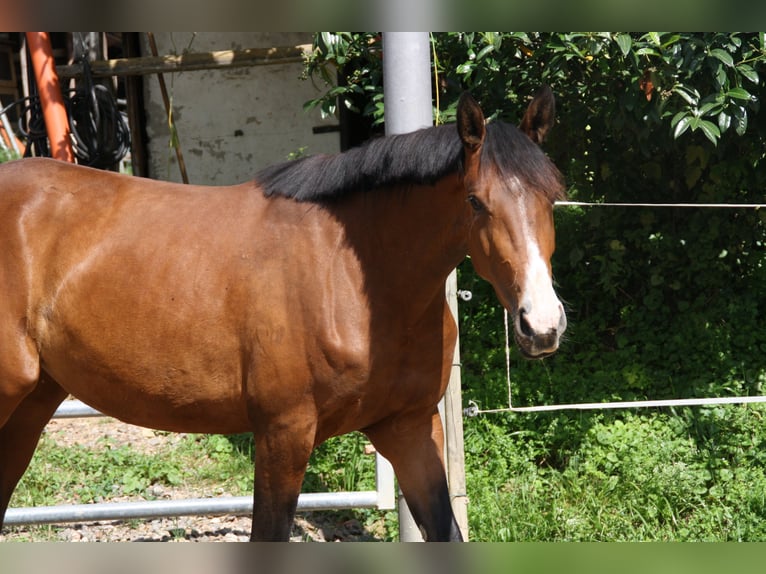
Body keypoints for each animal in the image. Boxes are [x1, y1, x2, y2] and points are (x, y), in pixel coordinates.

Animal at [0, 88, 564, 544]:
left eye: (552, 197)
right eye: (475, 201)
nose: (542, 325)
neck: (353, 278)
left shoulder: (408, 430)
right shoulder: (283, 434)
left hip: (33, 403)